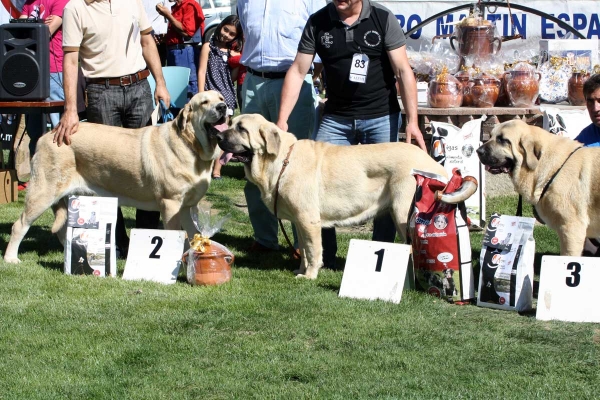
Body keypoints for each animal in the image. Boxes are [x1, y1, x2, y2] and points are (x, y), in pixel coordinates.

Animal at [3, 92, 229, 264]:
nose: (223, 107)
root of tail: (47, 136)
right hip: (43, 193)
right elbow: (175, 235)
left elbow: (192, 234)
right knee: (19, 225)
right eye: (204, 102)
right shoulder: (171, 203)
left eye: (220, 97)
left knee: (61, 229)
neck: (192, 146)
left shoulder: (187, 207)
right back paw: (11, 258)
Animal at [218, 114, 476, 280]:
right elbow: (304, 251)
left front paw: (310, 275)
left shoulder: (309, 220)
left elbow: (313, 251)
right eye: (230, 123)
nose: (218, 137)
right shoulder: (300, 221)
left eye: (241, 129)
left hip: (404, 212)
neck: (281, 161)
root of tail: (435, 165)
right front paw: (301, 270)